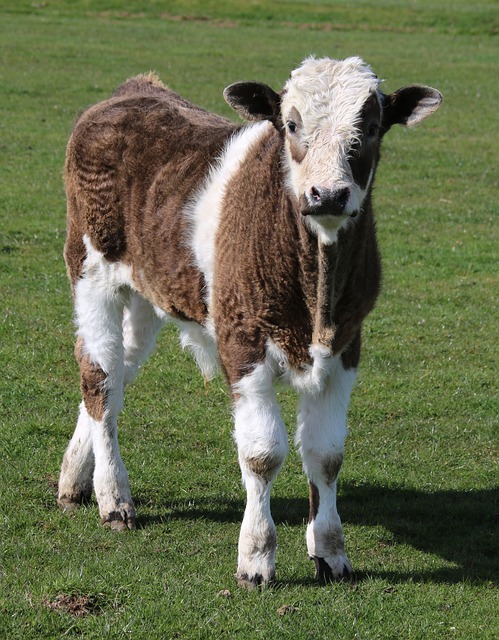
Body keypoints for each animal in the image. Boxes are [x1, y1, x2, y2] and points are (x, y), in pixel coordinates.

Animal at [56, 57, 444, 588]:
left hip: (147, 292)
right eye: (292, 124)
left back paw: (76, 479)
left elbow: (326, 454)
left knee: (117, 375)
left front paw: (331, 552)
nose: (328, 194)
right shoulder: (243, 340)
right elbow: (263, 453)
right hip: (92, 270)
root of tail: (134, 90)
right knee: (98, 373)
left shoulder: (347, 344)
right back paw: (114, 498)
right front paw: (256, 557)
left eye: (369, 127)